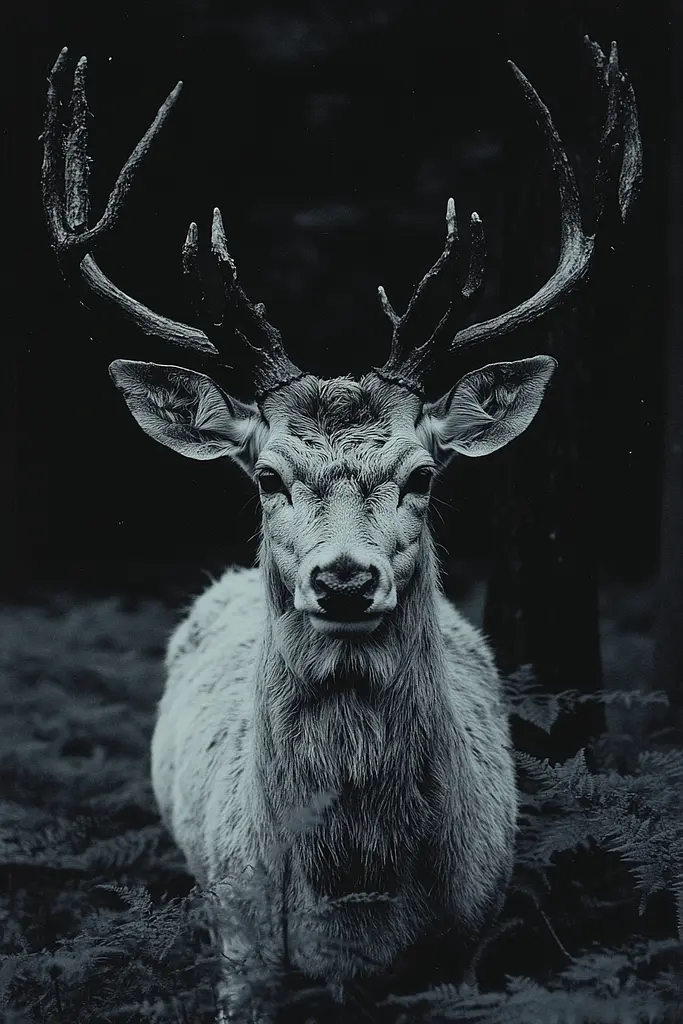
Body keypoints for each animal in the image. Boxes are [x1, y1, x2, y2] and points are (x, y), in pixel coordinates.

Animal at [42, 36, 643, 1019]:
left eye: (423, 474)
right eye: (266, 475)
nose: (345, 578)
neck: (352, 909)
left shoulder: (465, 945)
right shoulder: (241, 942)